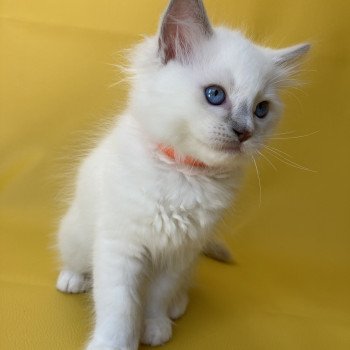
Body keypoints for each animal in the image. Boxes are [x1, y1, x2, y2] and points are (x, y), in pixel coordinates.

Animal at [56, 0, 310, 350]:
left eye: (261, 110)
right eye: (215, 95)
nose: (245, 132)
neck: (186, 173)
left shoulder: (180, 251)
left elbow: (157, 296)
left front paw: (155, 327)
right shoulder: (120, 247)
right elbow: (120, 307)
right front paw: (114, 343)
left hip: (191, 260)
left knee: (181, 288)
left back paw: (177, 307)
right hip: (78, 236)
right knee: (76, 261)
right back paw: (72, 279)